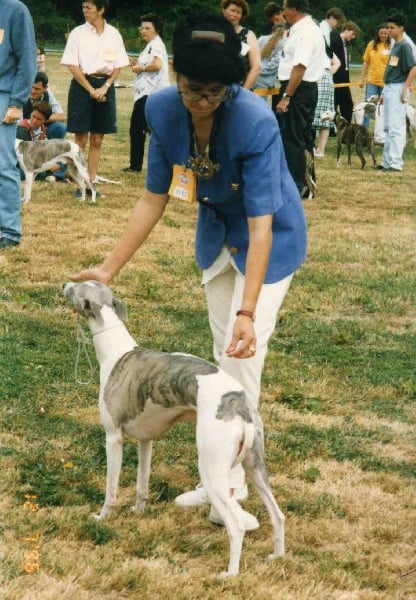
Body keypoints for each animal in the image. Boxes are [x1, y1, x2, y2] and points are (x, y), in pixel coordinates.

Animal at [63, 282, 284, 576]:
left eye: (76, 288)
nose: (64, 284)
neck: (116, 350)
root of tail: (239, 407)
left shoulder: (113, 438)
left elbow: (111, 490)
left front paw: (102, 517)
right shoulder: (146, 441)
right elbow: (142, 485)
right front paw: (137, 512)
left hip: (212, 470)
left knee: (236, 526)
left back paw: (230, 574)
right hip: (256, 466)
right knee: (278, 514)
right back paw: (277, 557)